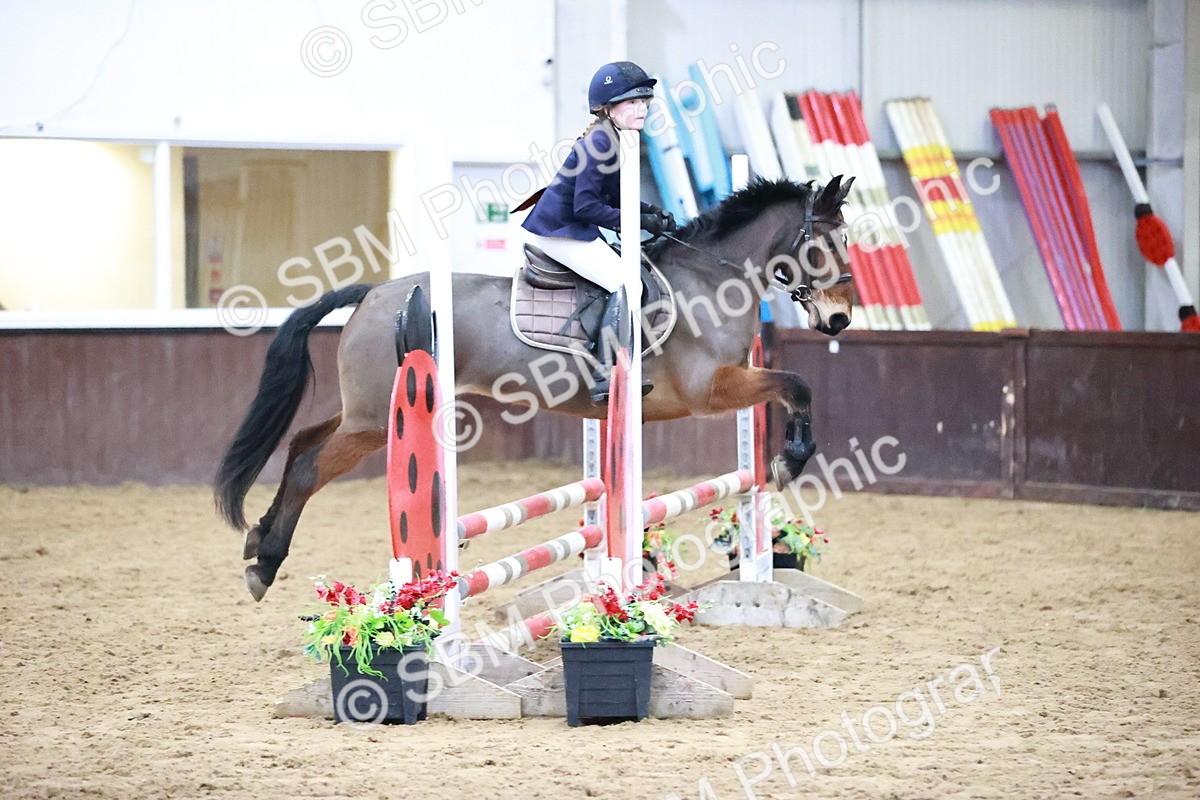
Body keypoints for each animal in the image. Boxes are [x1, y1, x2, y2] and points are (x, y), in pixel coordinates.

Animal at [216, 175, 856, 601]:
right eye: (827, 243)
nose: (840, 319)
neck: (709, 279)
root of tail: (374, 292)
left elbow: (791, 391)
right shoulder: (712, 390)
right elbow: (797, 384)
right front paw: (789, 462)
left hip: (366, 414)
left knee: (302, 441)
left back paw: (258, 541)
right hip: (376, 421)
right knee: (309, 465)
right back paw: (264, 565)